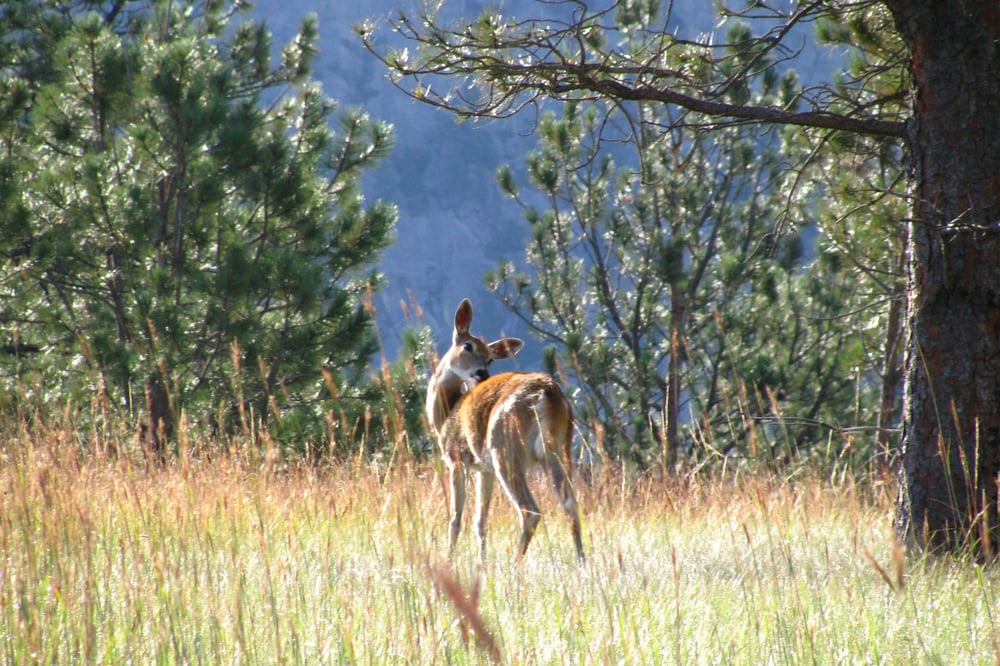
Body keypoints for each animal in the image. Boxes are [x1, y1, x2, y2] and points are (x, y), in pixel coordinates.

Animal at [424, 298, 584, 556]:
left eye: (490, 358)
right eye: (468, 346)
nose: (482, 372)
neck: (446, 414)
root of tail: (548, 393)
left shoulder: (456, 457)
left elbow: (456, 519)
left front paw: (449, 558)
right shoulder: (483, 468)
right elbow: (480, 521)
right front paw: (482, 560)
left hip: (504, 447)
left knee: (530, 510)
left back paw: (515, 562)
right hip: (558, 449)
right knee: (571, 504)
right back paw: (582, 560)